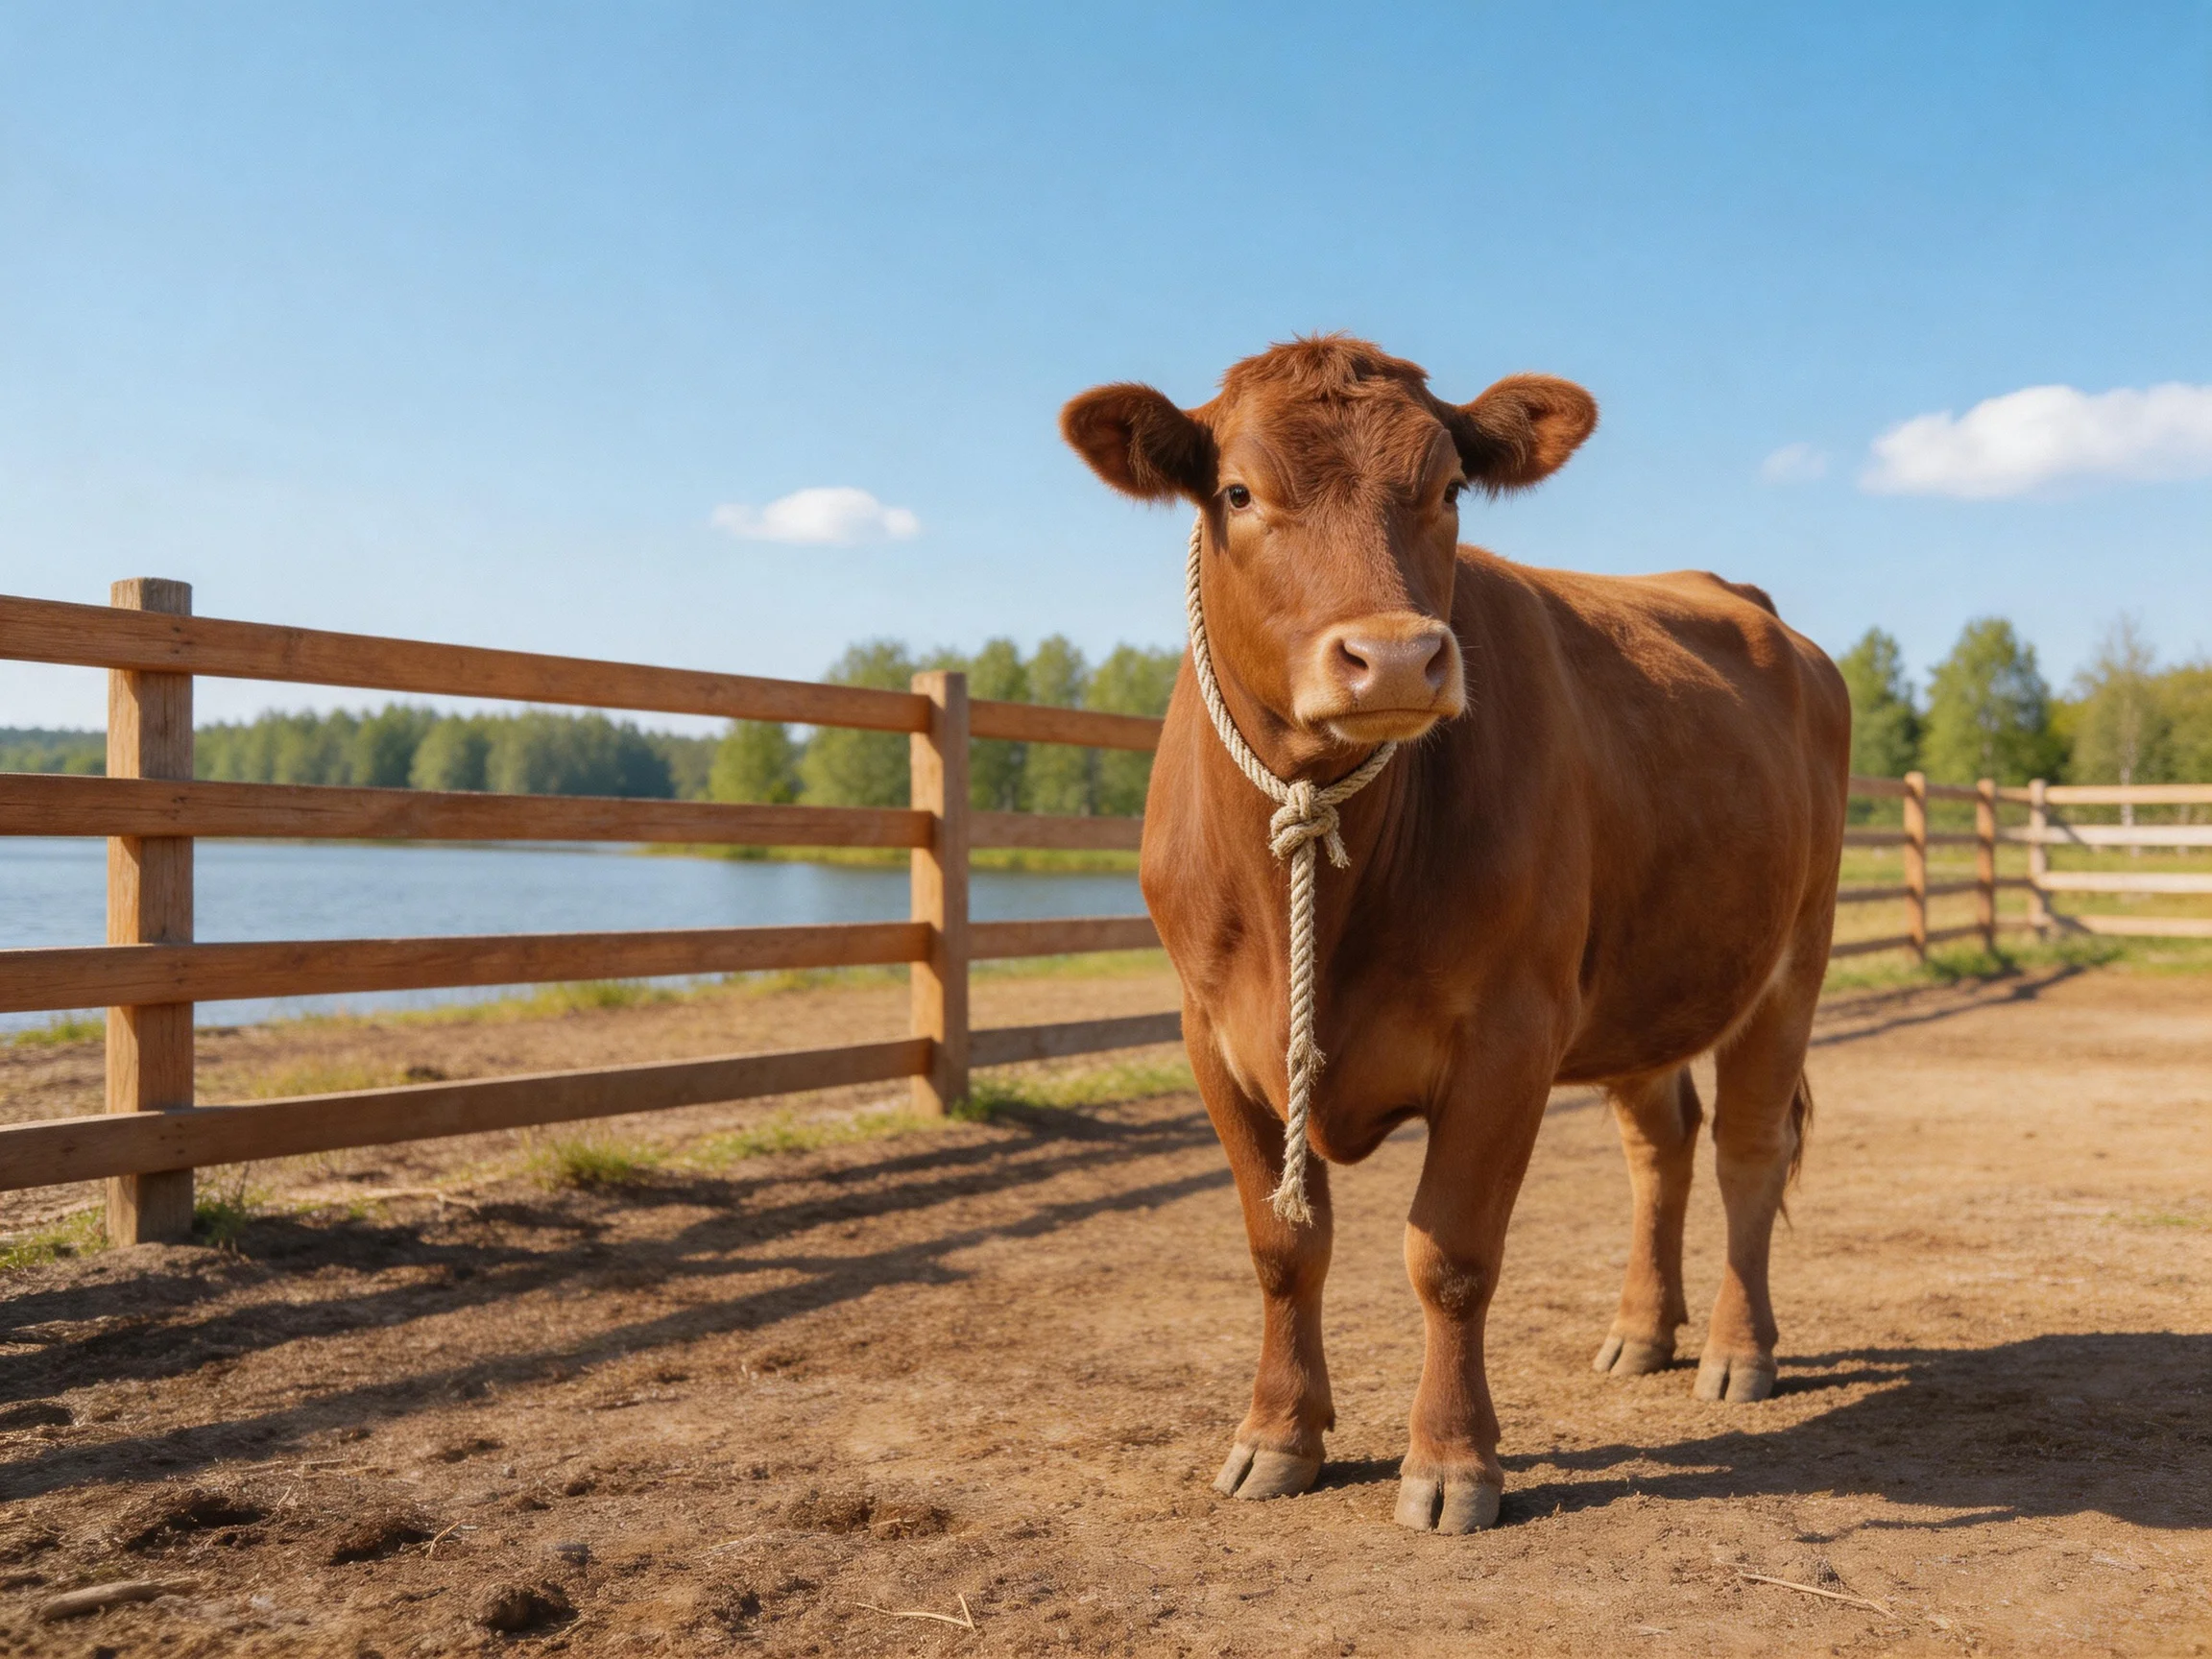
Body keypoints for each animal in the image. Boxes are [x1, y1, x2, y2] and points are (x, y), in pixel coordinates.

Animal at [1059, 335, 1849, 1534]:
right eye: (1238, 492)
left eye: (1449, 491)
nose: (1393, 659)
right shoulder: (1213, 1036)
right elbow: (1283, 1245)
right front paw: (1276, 1435)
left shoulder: (1509, 1036)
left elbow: (1451, 1254)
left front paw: (1451, 1462)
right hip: (1640, 983)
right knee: (1659, 1145)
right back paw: (1641, 1332)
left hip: (1791, 961)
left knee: (1746, 1151)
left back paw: (1736, 1351)